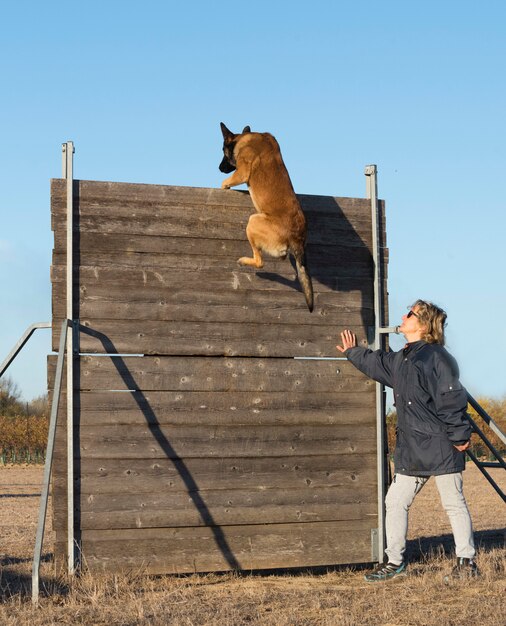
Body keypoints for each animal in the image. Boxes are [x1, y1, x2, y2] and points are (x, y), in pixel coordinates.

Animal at [219, 121, 314, 310]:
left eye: (222, 150)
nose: (219, 168)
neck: (246, 137)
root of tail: (296, 238)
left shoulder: (242, 171)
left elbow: (226, 182)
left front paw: (223, 186)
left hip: (253, 221)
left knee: (260, 262)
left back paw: (245, 261)